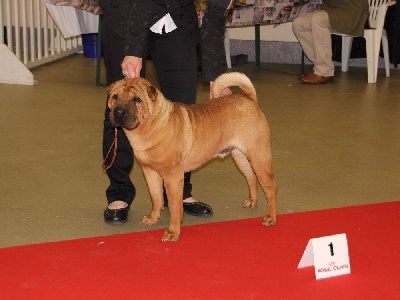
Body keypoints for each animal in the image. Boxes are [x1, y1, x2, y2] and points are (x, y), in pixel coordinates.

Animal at [106, 72, 278, 241]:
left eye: (137, 99)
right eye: (115, 96)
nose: (119, 111)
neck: (151, 125)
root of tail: (249, 98)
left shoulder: (173, 177)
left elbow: (174, 207)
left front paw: (173, 232)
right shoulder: (150, 172)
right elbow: (156, 198)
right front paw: (152, 218)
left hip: (259, 156)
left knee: (270, 187)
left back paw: (271, 218)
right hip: (240, 156)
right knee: (251, 177)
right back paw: (252, 201)